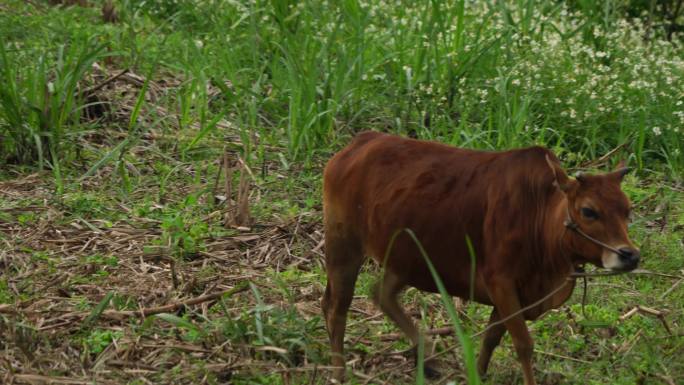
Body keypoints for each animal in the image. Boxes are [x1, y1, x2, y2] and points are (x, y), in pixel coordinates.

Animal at [324, 132, 640, 384]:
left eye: (627, 209)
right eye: (588, 211)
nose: (630, 255)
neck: (538, 216)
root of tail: (358, 144)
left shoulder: (511, 295)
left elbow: (491, 338)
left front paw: (478, 373)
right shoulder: (502, 283)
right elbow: (523, 343)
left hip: (408, 261)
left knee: (382, 295)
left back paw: (428, 359)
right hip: (343, 246)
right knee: (337, 310)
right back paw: (339, 372)